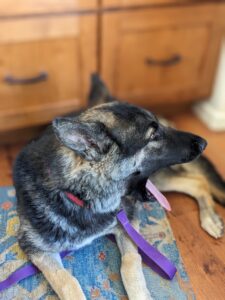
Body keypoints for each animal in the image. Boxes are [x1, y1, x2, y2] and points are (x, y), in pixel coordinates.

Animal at [13, 73, 223, 300]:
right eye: (153, 136)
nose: (204, 143)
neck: (81, 197)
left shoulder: (127, 222)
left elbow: (130, 265)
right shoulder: (36, 249)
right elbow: (68, 282)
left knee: (198, 181)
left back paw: (210, 219)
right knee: (196, 182)